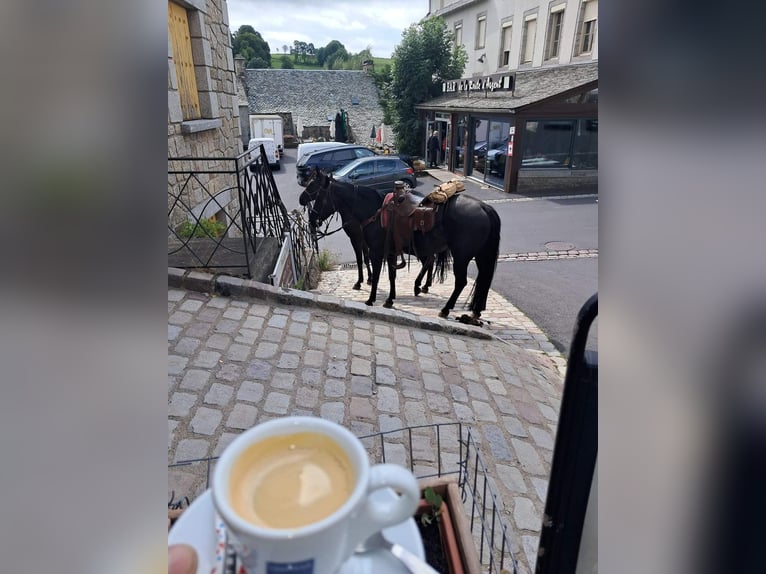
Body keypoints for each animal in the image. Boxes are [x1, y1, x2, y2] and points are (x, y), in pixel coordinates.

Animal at [300, 171, 504, 324]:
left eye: (316, 193)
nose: (312, 218)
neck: (373, 211)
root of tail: (485, 208)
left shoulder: (375, 251)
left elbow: (374, 275)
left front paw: (370, 299)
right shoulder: (390, 252)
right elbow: (391, 275)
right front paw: (389, 300)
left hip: (462, 257)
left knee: (460, 282)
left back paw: (445, 309)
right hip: (480, 256)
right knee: (483, 279)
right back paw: (474, 311)